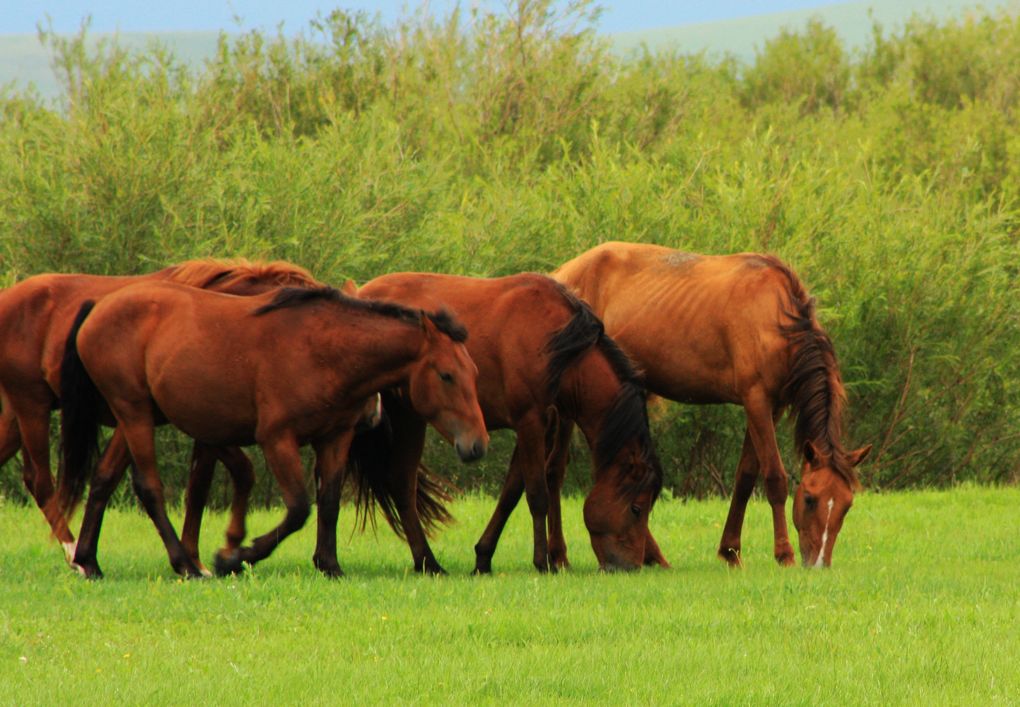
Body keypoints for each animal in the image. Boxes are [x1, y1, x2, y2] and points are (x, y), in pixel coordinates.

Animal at [0, 256, 326, 567]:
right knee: (41, 480)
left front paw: (223, 548)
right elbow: (199, 488)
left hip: (16, 415)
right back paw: (71, 551)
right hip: (32, 406)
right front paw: (199, 559)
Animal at [59, 283, 489, 579]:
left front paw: (329, 564)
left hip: (134, 417)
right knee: (148, 486)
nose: (477, 445)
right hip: (134, 415)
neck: (325, 350)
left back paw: (89, 561)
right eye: (447, 375)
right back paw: (186, 564)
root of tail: (98, 307)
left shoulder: (335, 438)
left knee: (103, 479)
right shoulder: (277, 439)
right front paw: (234, 557)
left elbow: (328, 501)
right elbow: (299, 507)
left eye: (474, 372)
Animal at [354, 271, 665, 575]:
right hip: (408, 416)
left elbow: (511, 493)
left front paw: (483, 557)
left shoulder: (542, 425)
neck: (557, 345)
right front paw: (543, 562)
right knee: (402, 482)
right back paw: (427, 561)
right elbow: (537, 494)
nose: (630, 566)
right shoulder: (530, 422)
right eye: (636, 509)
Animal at [554, 242, 873, 567]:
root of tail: (563, 273)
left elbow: (746, 477)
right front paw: (784, 554)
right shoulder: (756, 399)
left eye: (846, 505)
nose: (818, 563)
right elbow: (774, 477)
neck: (777, 320)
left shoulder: (770, 406)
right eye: (809, 499)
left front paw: (730, 551)